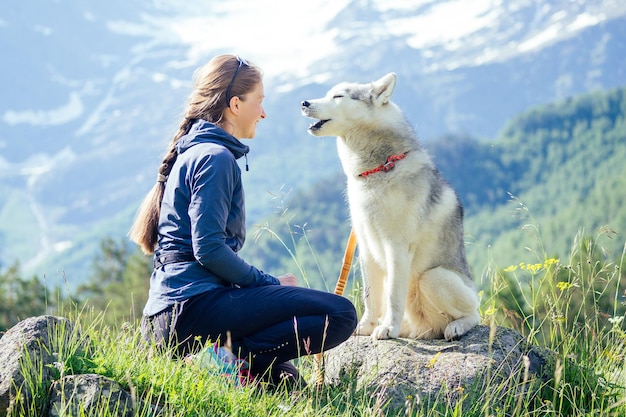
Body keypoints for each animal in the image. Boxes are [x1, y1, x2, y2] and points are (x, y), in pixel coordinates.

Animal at [298, 72, 478, 338]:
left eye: (338, 96)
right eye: (328, 93)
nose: (304, 103)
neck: (379, 168)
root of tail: (425, 329)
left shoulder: (397, 247)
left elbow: (393, 294)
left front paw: (388, 328)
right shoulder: (366, 247)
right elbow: (371, 296)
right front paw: (366, 327)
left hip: (434, 278)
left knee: (473, 313)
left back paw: (456, 326)